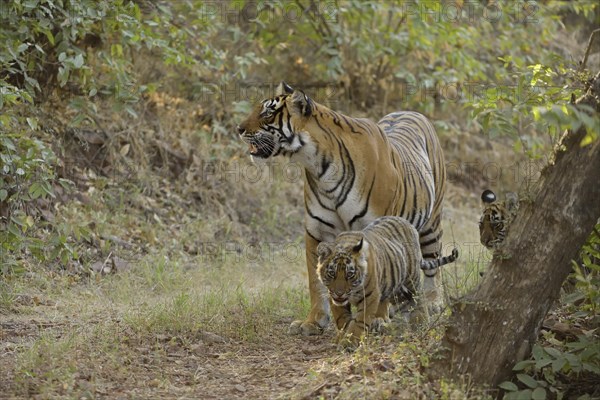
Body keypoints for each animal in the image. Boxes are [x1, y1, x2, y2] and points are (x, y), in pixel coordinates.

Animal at [237, 81, 448, 334]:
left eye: (268, 112)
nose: (238, 129)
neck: (319, 166)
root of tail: (411, 111)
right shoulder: (317, 231)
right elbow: (316, 281)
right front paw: (314, 321)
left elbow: (383, 272)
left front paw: (378, 317)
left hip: (431, 222)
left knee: (433, 263)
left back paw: (433, 302)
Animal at [316, 216, 458, 346]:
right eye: (332, 273)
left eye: (350, 274)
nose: (339, 293)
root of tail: (407, 222)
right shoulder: (334, 297)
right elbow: (342, 318)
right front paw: (343, 335)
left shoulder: (370, 296)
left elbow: (360, 320)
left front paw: (350, 341)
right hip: (396, 286)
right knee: (404, 303)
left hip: (411, 278)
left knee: (419, 296)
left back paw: (420, 322)